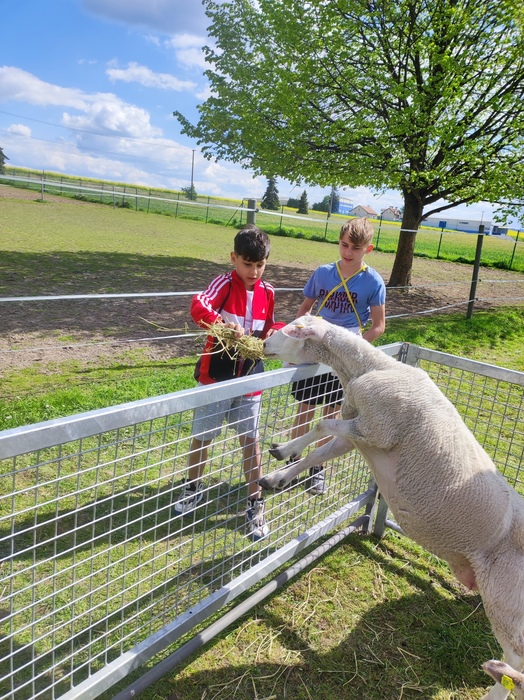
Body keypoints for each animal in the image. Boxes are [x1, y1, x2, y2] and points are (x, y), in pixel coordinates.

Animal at [260, 315, 524, 700]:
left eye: (293, 328)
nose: (263, 343)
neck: (371, 368)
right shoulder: (357, 434)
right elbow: (318, 450)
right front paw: (280, 467)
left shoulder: (377, 429)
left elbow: (322, 423)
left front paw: (285, 453)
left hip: (507, 601)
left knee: (515, 658)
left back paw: (498, 682)